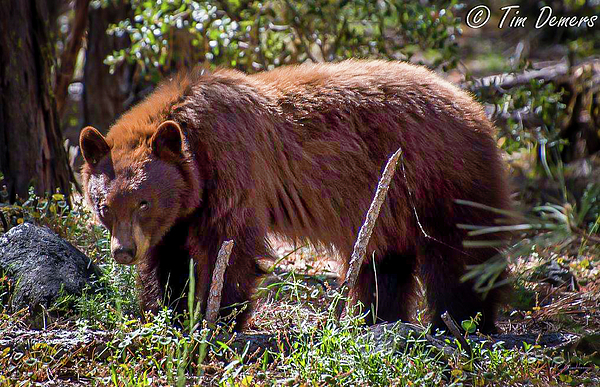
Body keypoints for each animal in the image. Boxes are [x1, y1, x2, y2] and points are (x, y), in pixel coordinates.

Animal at [81, 59, 510, 332]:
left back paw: (464, 322)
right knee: (385, 261)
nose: (123, 251)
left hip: (441, 177)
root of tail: (474, 106)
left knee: (462, 253)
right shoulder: (183, 209)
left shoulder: (234, 165)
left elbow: (230, 244)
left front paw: (217, 318)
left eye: (144, 202)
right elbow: (168, 258)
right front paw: (165, 311)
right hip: (391, 204)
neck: (194, 136)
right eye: (104, 206)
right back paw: (376, 318)